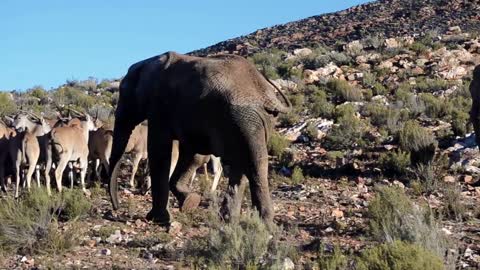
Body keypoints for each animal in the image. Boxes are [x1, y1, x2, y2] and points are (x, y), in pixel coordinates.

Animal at [107, 51, 290, 226]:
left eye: (124, 95)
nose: (116, 208)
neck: (149, 63)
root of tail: (267, 96)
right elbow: (194, 154)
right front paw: (190, 202)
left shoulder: (160, 105)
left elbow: (160, 150)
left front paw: (157, 218)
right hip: (256, 120)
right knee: (245, 163)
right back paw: (230, 220)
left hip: (245, 118)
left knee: (252, 162)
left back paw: (261, 223)